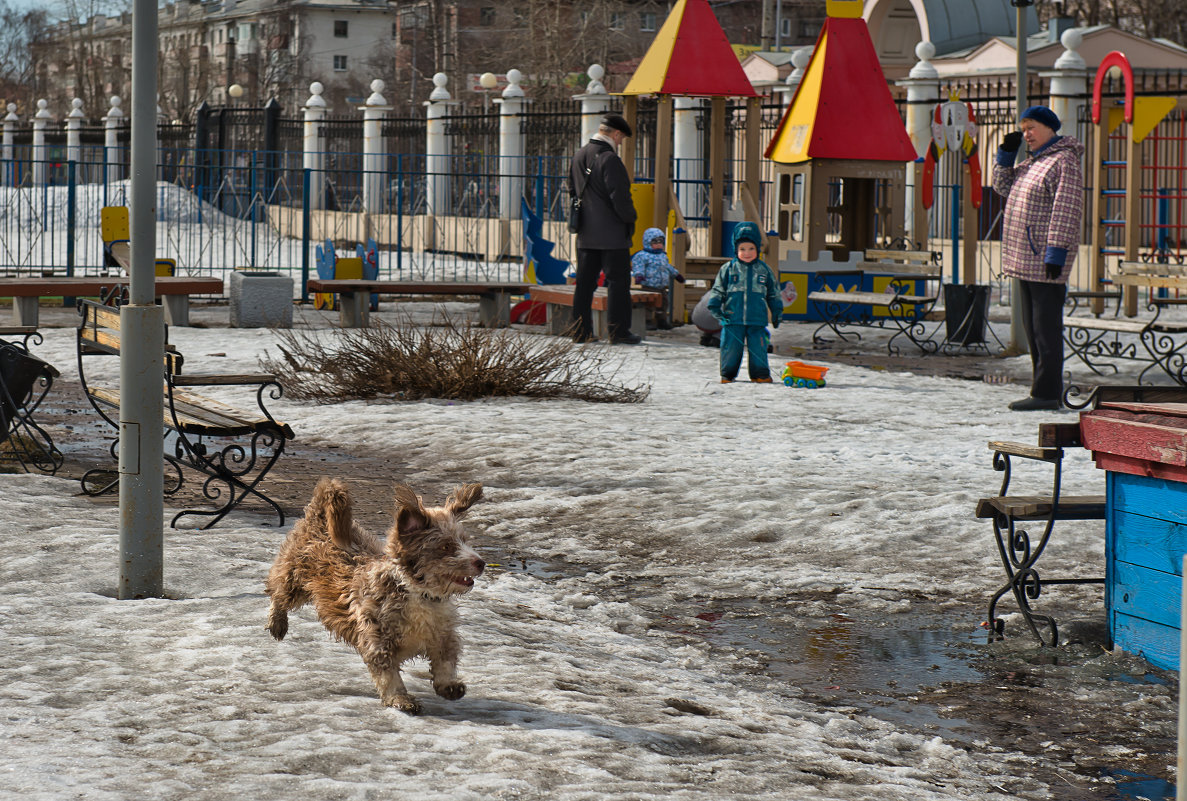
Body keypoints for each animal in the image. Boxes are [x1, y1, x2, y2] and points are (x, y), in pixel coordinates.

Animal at [267, 477, 484, 716]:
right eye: (446, 546)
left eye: (464, 540)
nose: (481, 562)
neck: (418, 593)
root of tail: (319, 516)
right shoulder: (378, 640)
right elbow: (388, 676)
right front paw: (400, 699)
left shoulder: (442, 634)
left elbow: (445, 661)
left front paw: (449, 685)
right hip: (293, 579)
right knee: (277, 592)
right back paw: (277, 623)